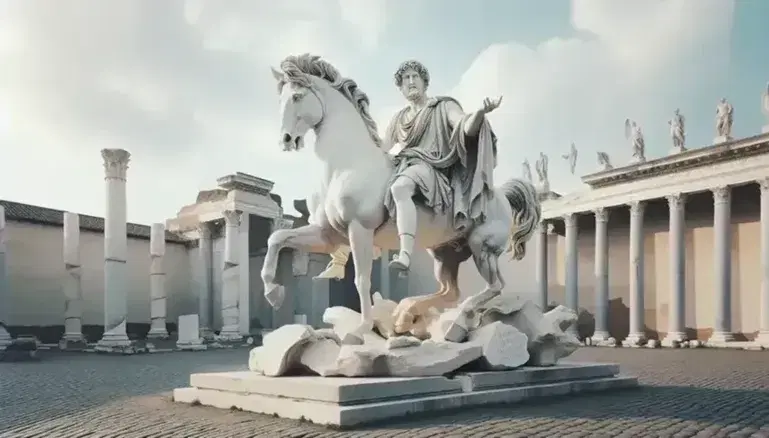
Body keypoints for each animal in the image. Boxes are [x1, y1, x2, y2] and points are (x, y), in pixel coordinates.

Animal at [260, 54, 540, 338]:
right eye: (280, 100)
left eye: (297, 96)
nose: (286, 139)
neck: (344, 164)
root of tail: (500, 194)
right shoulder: (326, 235)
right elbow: (276, 238)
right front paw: (273, 292)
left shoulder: (359, 229)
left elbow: (361, 280)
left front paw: (362, 327)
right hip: (445, 254)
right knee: (451, 291)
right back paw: (407, 314)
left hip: (482, 247)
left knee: (494, 287)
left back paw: (458, 315)